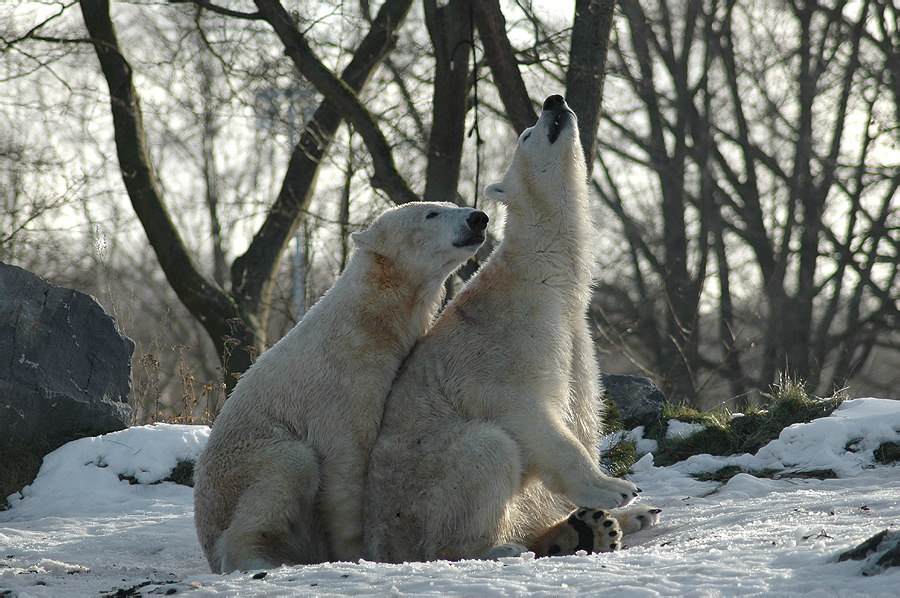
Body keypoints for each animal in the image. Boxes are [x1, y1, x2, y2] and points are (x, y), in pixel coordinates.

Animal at [190, 199, 486, 576]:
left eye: (451, 205)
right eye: (431, 213)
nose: (478, 218)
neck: (366, 322)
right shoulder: (342, 383)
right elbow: (345, 463)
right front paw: (357, 552)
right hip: (237, 473)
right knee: (290, 465)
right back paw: (261, 557)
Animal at [362, 96, 656, 564]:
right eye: (526, 134)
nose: (555, 100)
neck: (542, 276)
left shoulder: (575, 334)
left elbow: (581, 410)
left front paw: (621, 503)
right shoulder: (507, 340)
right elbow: (527, 411)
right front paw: (615, 490)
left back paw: (607, 526)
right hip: (420, 488)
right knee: (487, 451)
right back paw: (496, 546)